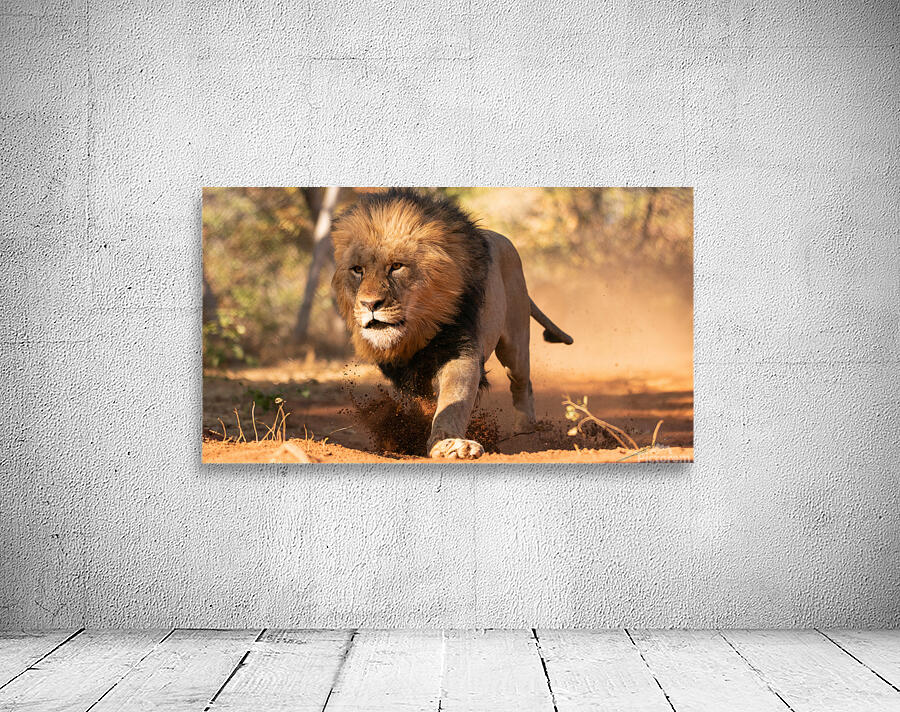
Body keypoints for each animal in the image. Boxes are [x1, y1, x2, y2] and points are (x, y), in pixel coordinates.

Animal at [331, 188, 573, 459]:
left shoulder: (460, 350)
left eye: (396, 266)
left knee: (522, 382)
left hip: (515, 341)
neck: (416, 332)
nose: (369, 304)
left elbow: (452, 400)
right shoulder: (401, 373)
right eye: (357, 270)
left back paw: (525, 431)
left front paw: (451, 444)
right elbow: (416, 403)